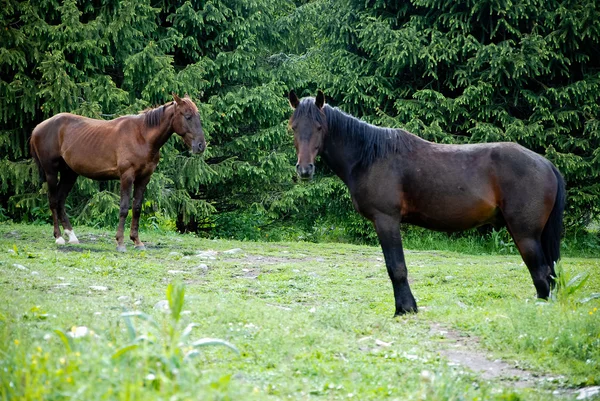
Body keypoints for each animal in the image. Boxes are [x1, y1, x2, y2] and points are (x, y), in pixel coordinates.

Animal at [30, 93, 206, 250]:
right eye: (188, 116)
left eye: (198, 116)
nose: (201, 146)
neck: (141, 136)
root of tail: (38, 127)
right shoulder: (126, 177)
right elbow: (124, 208)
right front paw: (120, 243)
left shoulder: (144, 178)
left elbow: (136, 208)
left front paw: (137, 241)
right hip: (51, 173)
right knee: (53, 201)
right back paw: (59, 237)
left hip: (69, 174)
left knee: (60, 201)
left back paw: (72, 237)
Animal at [288, 89, 564, 314]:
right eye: (293, 127)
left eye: (319, 127)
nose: (305, 169)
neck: (370, 156)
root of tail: (546, 164)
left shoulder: (386, 220)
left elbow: (396, 267)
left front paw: (405, 309)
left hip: (525, 234)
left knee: (541, 273)